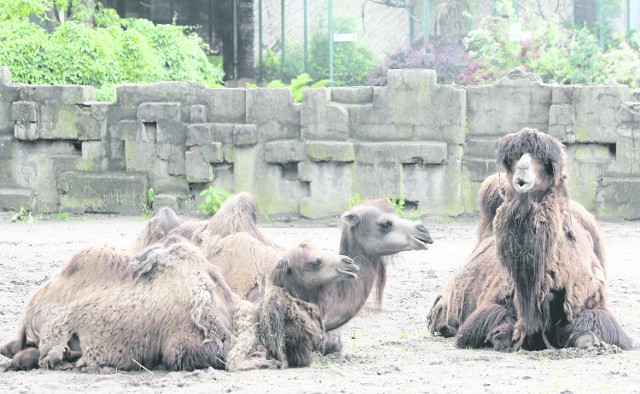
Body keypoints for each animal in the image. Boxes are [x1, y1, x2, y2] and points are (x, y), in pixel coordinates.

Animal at [432, 127, 632, 350]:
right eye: (513, 158)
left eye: (544, 161)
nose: (522, 170)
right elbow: (492, 322)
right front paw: (500, 337)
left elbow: (591, 326)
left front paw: (589, 340)